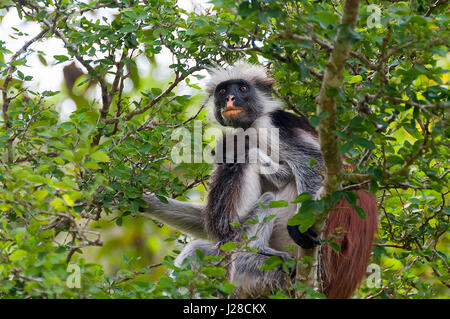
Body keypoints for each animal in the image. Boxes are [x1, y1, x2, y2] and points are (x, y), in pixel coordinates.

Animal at [142, 63, 378, 300]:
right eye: (222, 91)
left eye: (242, 88)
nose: (230, 99)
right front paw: (145, 202)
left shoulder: (271, 125)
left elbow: (315, 162)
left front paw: (300, 227)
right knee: (198, 250)